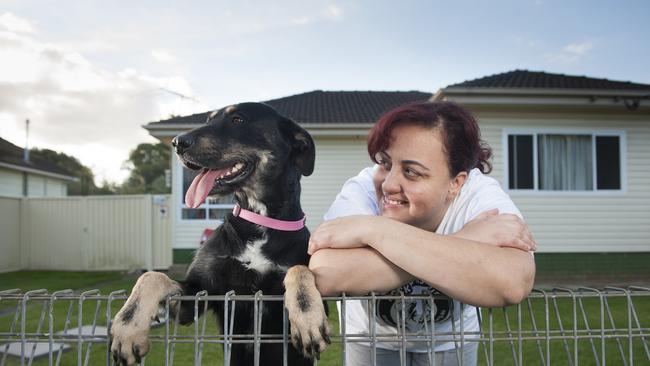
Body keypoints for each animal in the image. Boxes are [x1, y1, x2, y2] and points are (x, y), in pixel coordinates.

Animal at [109, 101, 330, 364]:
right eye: (209, 119)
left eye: (238, 120)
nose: (177, 142)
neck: (259, 222)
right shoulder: (195, 297)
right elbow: (152, 276)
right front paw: (127, 326)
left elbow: (300, 269)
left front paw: (308, 317)